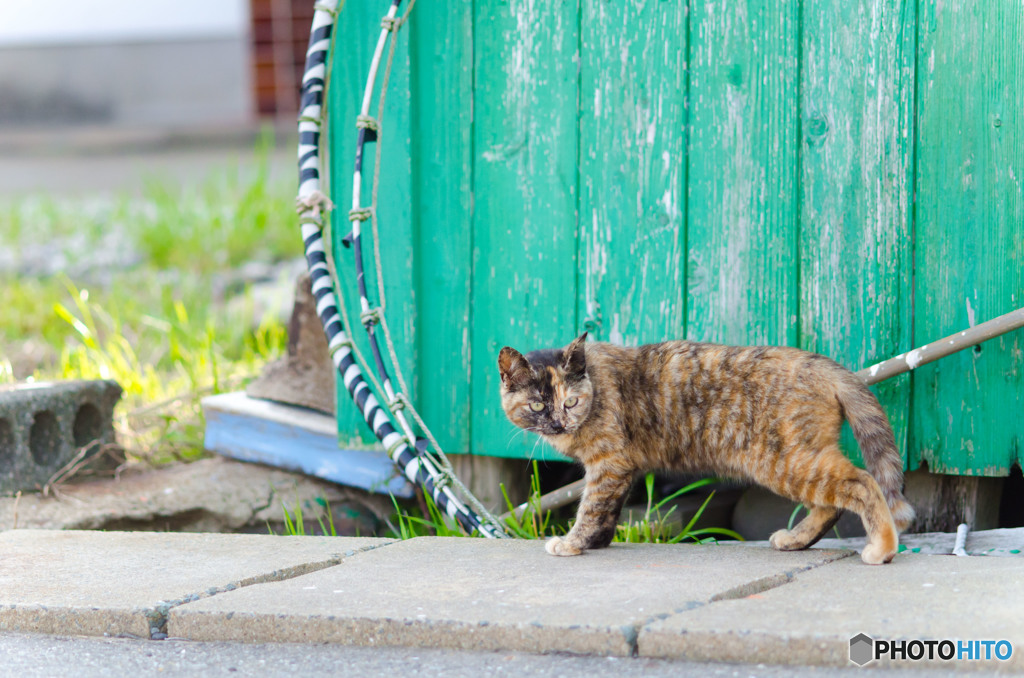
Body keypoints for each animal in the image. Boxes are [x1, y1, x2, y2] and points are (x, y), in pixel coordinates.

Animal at [499, 331, 917, 565]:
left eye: (570, 402)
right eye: (537, 406)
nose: (558, 424)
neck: (595, 383)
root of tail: (824, 365)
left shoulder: (608, 463)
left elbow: (591, 508)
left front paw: (572, 543)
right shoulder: (621, 469)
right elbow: (608, 511)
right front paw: (597, 543)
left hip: (787, 460)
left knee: (862, 483)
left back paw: (882, 548)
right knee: (831, 504)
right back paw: (796, 540)